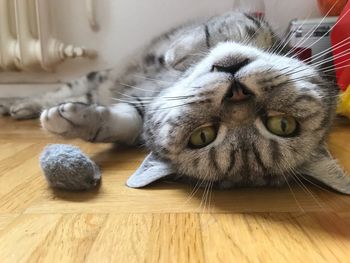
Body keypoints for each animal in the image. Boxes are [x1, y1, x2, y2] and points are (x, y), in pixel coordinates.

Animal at [1, 11, 348, 194]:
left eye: (282, 125)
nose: (236, 91)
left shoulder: (137, 115)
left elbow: (123, 121)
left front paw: (73, 121)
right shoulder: (249, 24)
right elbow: (218, 31)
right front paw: (177, 53)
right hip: (94, 77)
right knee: (63, 89)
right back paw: (17, 104)